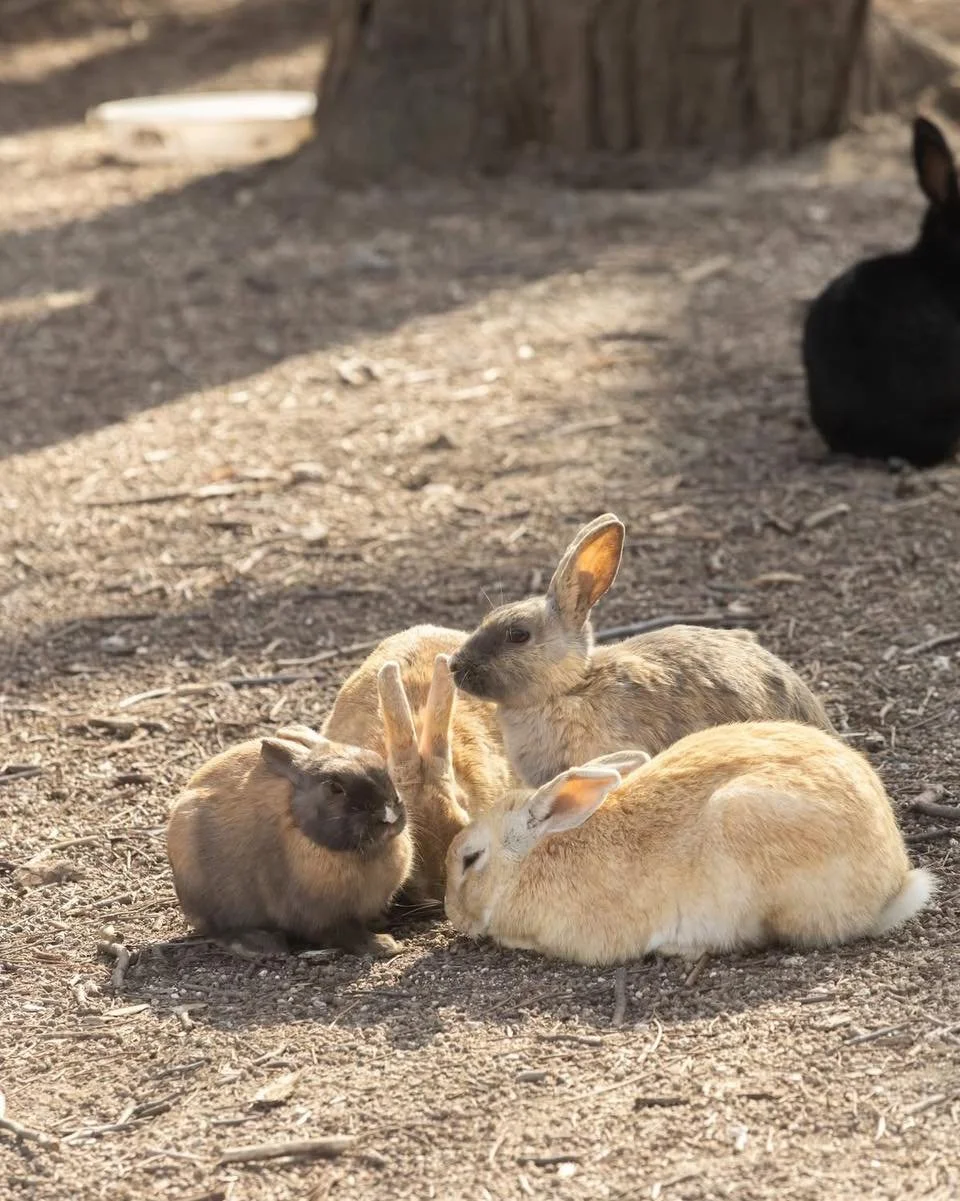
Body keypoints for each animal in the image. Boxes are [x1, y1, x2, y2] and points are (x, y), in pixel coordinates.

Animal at [166, 728, 413, 957]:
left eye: (379, 762)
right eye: (335, 788)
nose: (389, 814)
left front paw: (380, 925)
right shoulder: (322, 916)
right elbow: (348, 935)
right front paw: (384, 945)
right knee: (220, 930)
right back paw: (264, 945)